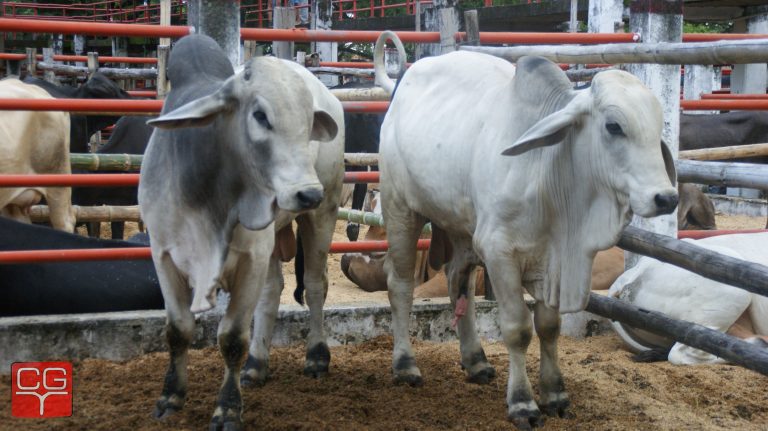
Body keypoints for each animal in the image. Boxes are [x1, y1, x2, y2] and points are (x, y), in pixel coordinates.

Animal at [138, 34, 342, 431]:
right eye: (260, 115)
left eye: (308, 121)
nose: (307, 193)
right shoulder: (163, 255)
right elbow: (178, 329)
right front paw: (171, 397)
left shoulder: (251, 257)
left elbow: (232, 337)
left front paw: (228, 409)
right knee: (273, 290)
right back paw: (257, 366)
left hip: (322, 215)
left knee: (314, 285)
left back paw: (316, 356)